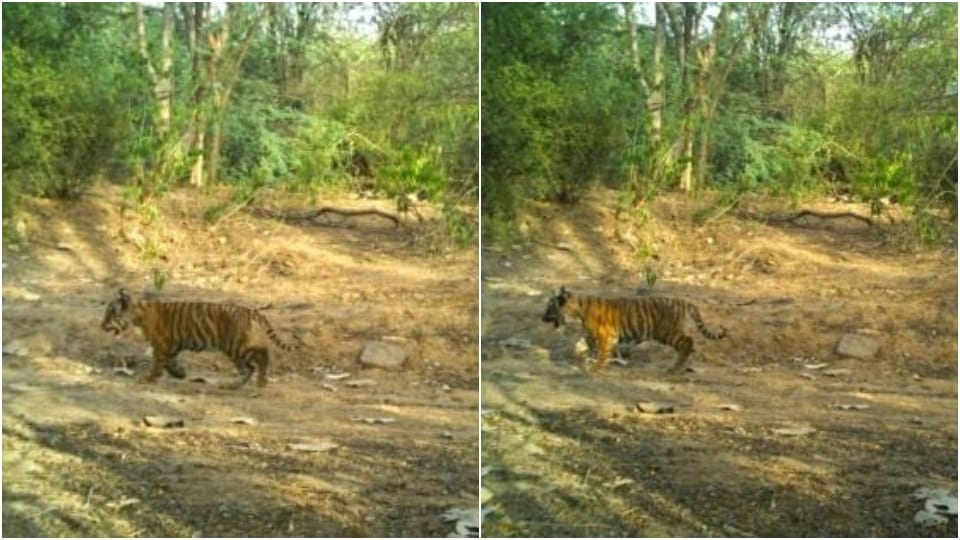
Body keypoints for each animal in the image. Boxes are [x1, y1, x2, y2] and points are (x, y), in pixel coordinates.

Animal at [101, 288, 299, 389]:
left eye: (110, 314)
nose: (101, 326)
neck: (138, 314)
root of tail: (250, 310)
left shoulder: (162, 344)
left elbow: (158, 363)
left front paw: (148, 378)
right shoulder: (171, 345)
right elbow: (170, 362)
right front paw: (180, 373)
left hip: (237, 346)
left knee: (262, 355)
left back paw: (261, 381)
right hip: (237, 349)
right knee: (249, 367)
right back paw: (232, 385)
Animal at [541, 286, 727, 373]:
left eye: (550, 307)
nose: (541, 318)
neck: (577, 311)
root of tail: (681, 301)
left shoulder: (606, 336)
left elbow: (602, 353)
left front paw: (596, 368)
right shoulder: (591, 335)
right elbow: (579, 345)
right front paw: (580, 358)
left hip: (666, 332)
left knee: (688, 342)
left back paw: (673, 368)